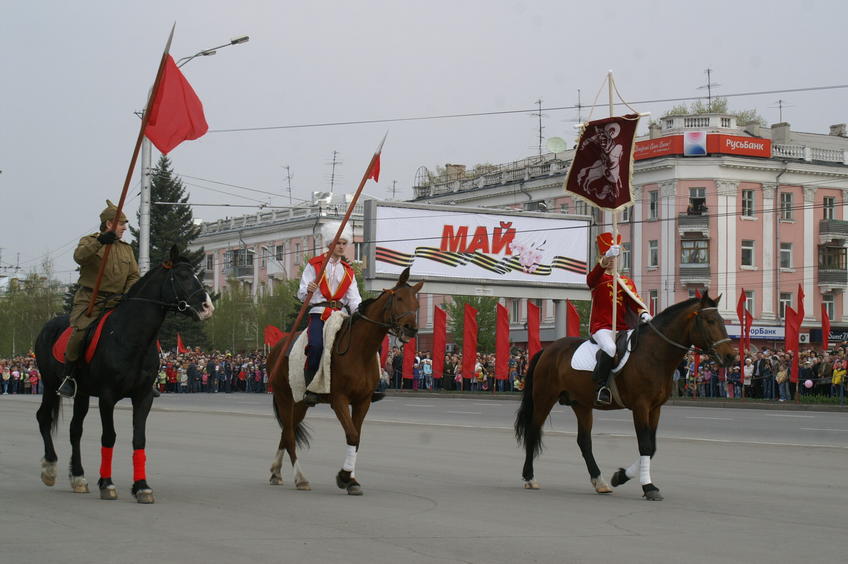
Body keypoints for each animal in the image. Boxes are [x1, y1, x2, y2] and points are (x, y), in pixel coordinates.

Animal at [34, 246, 214, 503]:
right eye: (182, 275)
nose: (207, 307)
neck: (132, 336)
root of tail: (48, 326)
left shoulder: (143, 397)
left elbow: (139, 439)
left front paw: (142, 486)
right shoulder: (107, 397)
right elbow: (109, 436)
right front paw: (107, 484)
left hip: (82, 394)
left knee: (75, 429)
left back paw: (78, 477)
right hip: (50, 384)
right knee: (43, 418)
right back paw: (49, 467)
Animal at [268, 267, 422, 495]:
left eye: (417, 304)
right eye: (400, 298)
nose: (411, 329)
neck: (360, 351)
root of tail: (278, 347)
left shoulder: (363, 401)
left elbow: (356, 438)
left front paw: (351, 479)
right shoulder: (339, 400)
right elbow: (352, 435)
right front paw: (344, 477)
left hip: (300, 403)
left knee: (286, 434)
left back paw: (276, 473)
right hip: (284, 398)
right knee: (288, 435)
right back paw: (300, 479)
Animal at [515, 291, 736, 501]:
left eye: (722, 320)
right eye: (710, 321)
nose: (731, 356)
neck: (654, 354)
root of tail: (548, 349)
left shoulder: (655, 408)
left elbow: (652, 447)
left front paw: (620, 477)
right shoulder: (640, 406)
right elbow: (645, 445)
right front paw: (648, 487)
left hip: (581, 404)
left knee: (584, 441)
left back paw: (600, 481)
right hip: (544, 398)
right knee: (533, 431)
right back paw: (529, 477)